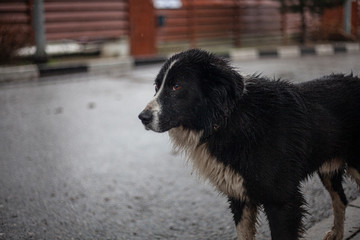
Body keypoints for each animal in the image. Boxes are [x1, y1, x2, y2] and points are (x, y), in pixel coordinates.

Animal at [139, 49, 360, 240]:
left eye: (176, 86)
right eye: (157, 87)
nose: (142, 118)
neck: (225, 119)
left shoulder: (282, 201)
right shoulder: (239, 197)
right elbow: (243, 234)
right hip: (328, 169)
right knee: (341, 199)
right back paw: (337, 233)